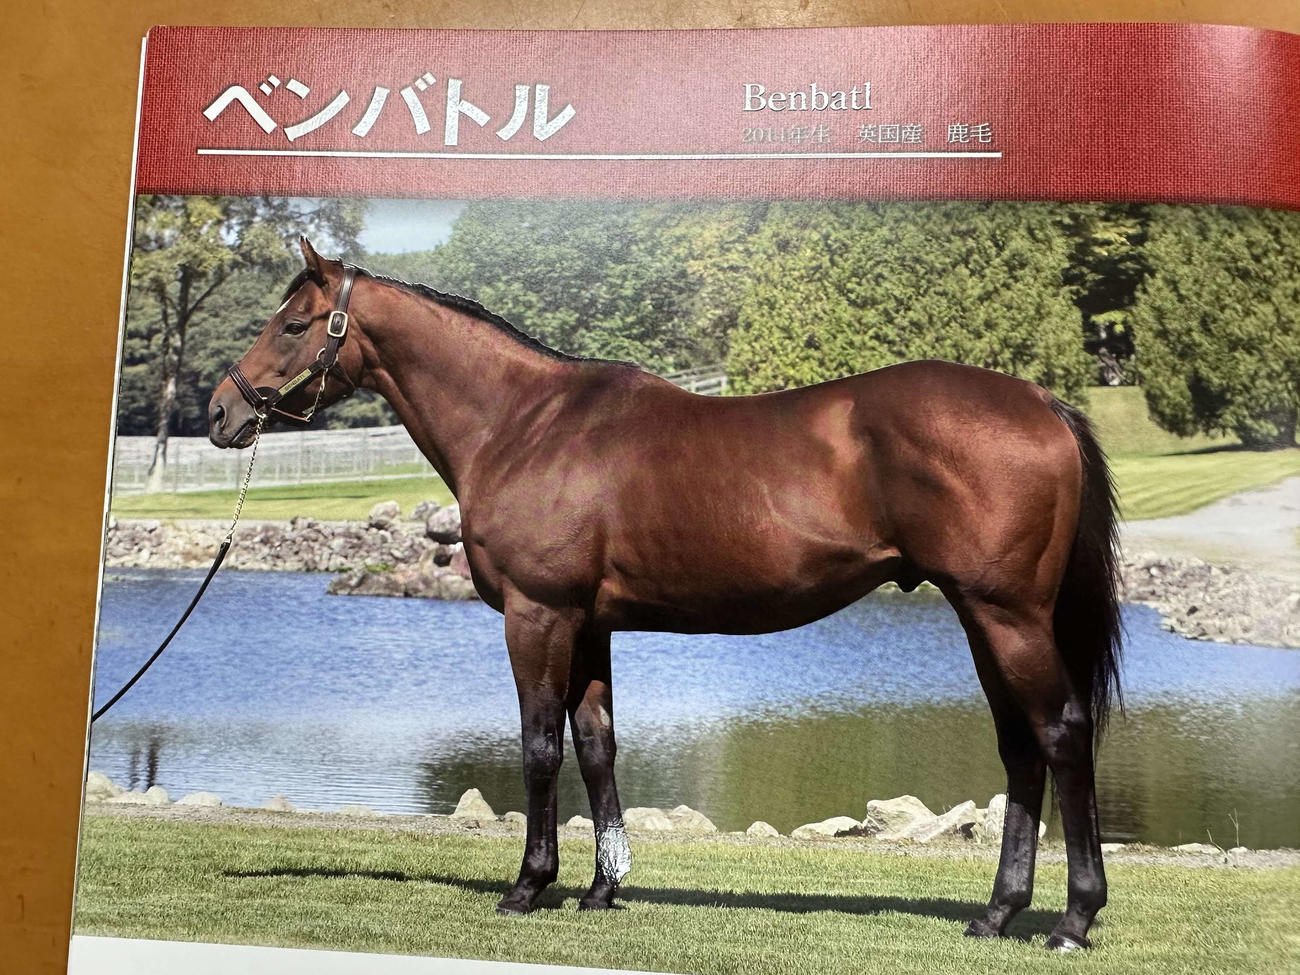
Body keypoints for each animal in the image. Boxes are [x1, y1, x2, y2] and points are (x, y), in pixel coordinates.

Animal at [208, 238, 1122, 952]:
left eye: (294, 324)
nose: (222, 412)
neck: (524, 423)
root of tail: (1041, 400)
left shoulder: (539, 615)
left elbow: (539, 746)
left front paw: (528, 885)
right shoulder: (589, 624)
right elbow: (597, 745)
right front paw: (601, 889)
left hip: (1006, 615)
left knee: (1062, 734)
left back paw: (1073, 920)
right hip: (979, 616)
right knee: (1021, 748)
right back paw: (997, 913)